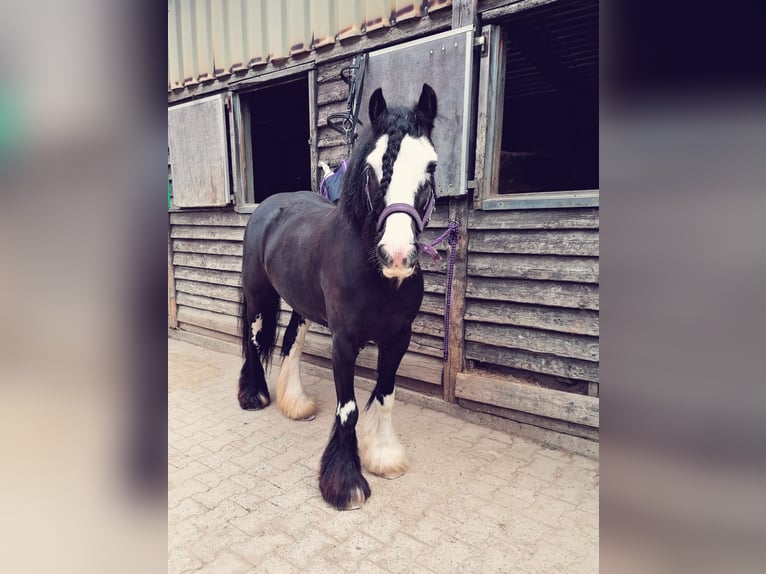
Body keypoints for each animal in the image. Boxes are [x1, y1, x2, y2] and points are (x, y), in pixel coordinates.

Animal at [237, 84, 440, 508]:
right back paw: (254, 396)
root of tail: (269, 207)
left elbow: (385, 396)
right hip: (258, 295)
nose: (397, 255)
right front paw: (346, 484)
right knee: (254, 339)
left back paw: (295, 403)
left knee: (291, 342)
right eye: (373, 168)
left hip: (302, 304)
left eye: (429, 166)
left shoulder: (398, 339)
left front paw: (384, 457)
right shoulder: (344, 343)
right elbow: (348, 410)